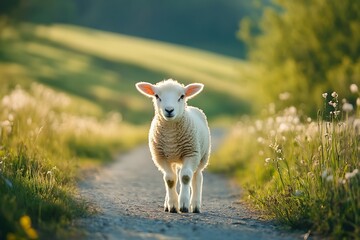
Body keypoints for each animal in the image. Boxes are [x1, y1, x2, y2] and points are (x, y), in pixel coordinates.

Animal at [136, 79, 212, 214]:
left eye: (181, 96)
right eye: (157, 96)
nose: (169, 110)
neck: (171, 136)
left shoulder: (191, 153)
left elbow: (186, 177)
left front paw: (184, 205)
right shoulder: (160, 157)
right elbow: (170, 180)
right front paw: (172, 205)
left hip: (202, 156)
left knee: (197, 177)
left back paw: (195, 205)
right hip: (172, 158)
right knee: (173, 176)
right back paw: (168, 204)